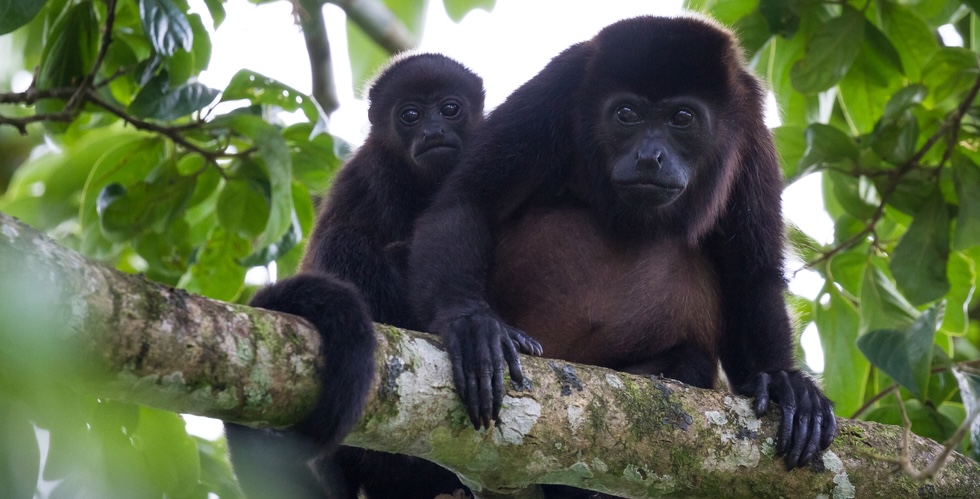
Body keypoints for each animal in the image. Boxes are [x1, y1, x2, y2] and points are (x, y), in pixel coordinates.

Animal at [408, 16, 837, 497]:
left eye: (682, 118)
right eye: (626, 114)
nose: (650, 156)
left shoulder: (750, 128)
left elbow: (750, 272)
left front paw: (782, 381)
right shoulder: (561, 84)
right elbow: (468, 201)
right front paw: (471, 323)